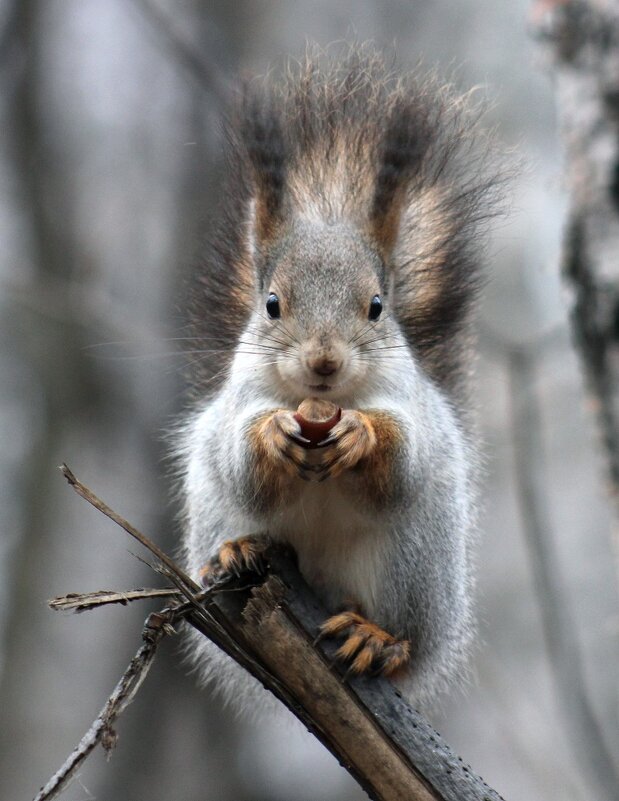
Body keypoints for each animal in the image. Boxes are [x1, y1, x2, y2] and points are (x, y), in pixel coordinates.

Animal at [176, 47, 504, 708]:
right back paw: (237, 550)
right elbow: (243, 466)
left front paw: (362, 436)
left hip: (413, 563)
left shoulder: (410, 405)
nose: (324, 362)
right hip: (214, 513)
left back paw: (378, 639)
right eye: (272, 304)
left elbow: (401, 462)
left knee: (402, 637)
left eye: (377, 307)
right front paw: (272, 437)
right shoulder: (239, 400)